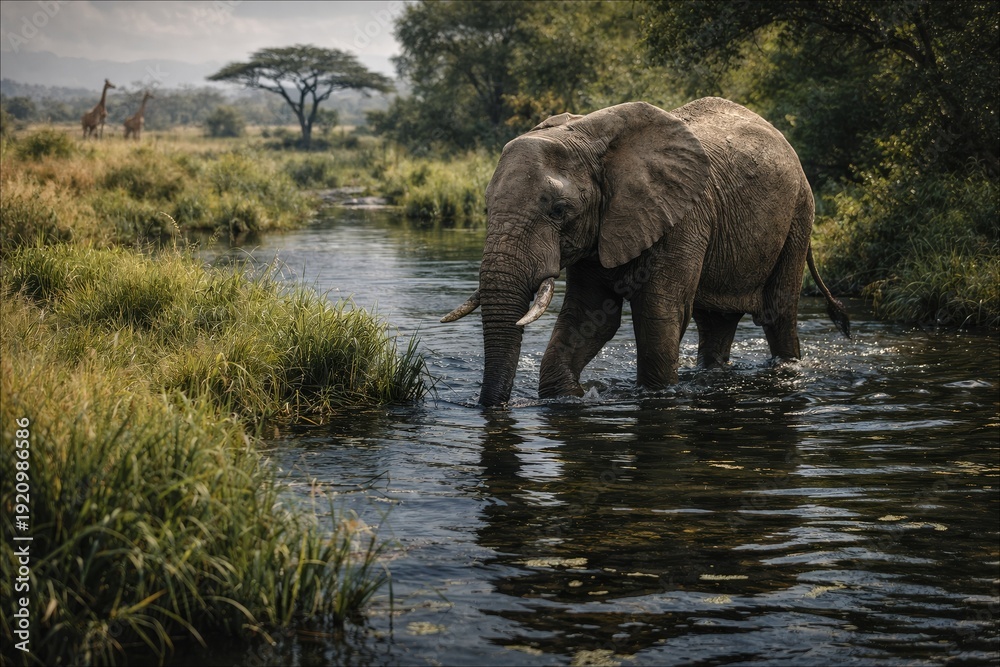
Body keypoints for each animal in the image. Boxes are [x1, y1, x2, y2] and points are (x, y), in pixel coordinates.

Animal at [442, 97, 850, 407]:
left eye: (558, 210)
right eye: (486, 207)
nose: (492, 407)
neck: (590, 135)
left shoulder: (682, 217)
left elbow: (659, 313)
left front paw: (654, 395)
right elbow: (589, 317)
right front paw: (570, 397)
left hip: (799, 214)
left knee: (777, 313)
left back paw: (787, 370)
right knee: (715, 320)